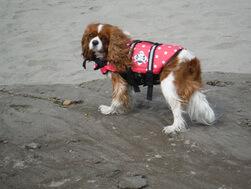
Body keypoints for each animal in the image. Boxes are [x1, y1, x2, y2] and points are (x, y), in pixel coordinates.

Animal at [81, 22, 215, 134]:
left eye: (103, 38)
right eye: (91, 36)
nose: (94, 42)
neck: (116, 47)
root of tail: (190, 58)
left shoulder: (118, 80)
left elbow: (116, 98)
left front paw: (110, 109)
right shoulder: (127, 81)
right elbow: (127, 96)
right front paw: (124, 108)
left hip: (168, 84)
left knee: (177, 106)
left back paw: (174, 127)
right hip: (190, 83)